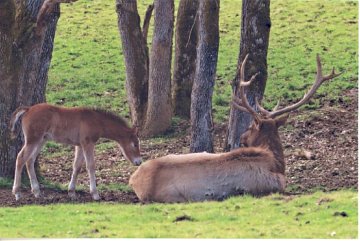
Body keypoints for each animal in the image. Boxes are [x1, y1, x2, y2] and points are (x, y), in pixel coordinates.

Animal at [9, 103, 142, 200]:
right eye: (135, 144)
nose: (139, 162)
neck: (97, 120)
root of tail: (28, 109)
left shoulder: (80, 145)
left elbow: (77, 166)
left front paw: (71, 192)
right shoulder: (88, 143)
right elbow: (90, 166)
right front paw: (95, 194)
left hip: (41, 140)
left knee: (30, 160)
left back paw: (37, 192)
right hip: (33, 140)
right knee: (21, 158)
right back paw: (17, 193)